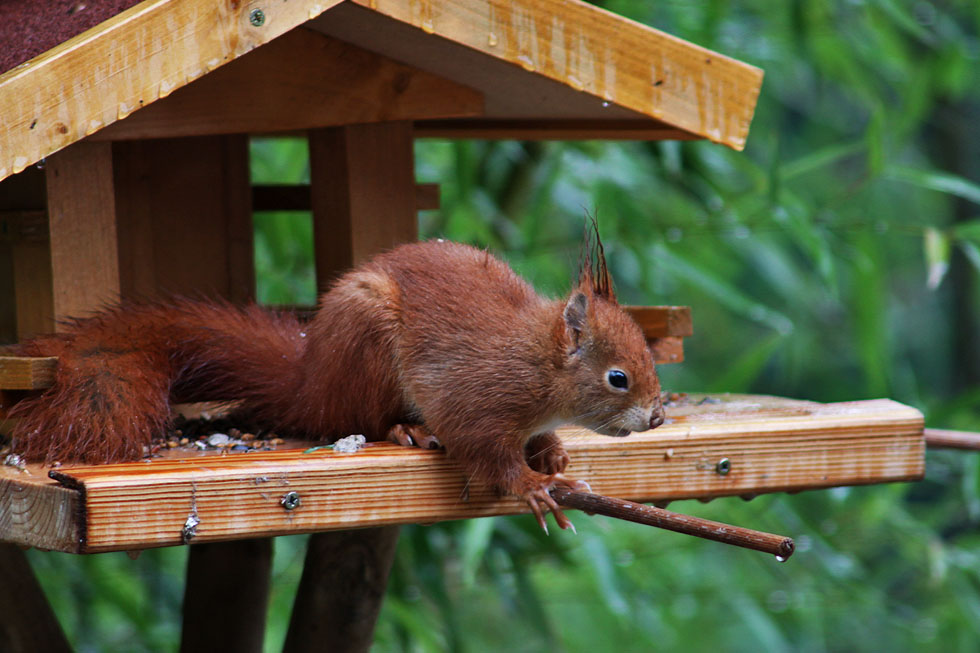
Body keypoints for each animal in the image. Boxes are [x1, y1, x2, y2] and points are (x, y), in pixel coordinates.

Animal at [7, 233, 664, 528]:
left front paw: (549, 451)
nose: (658, 416)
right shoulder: (473, 390)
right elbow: (479, 444)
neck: (538, 364)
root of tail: (309, 379)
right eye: (618, 377)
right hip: (364, 346)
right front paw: (530, 483)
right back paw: (403, 430)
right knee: (354, 420)